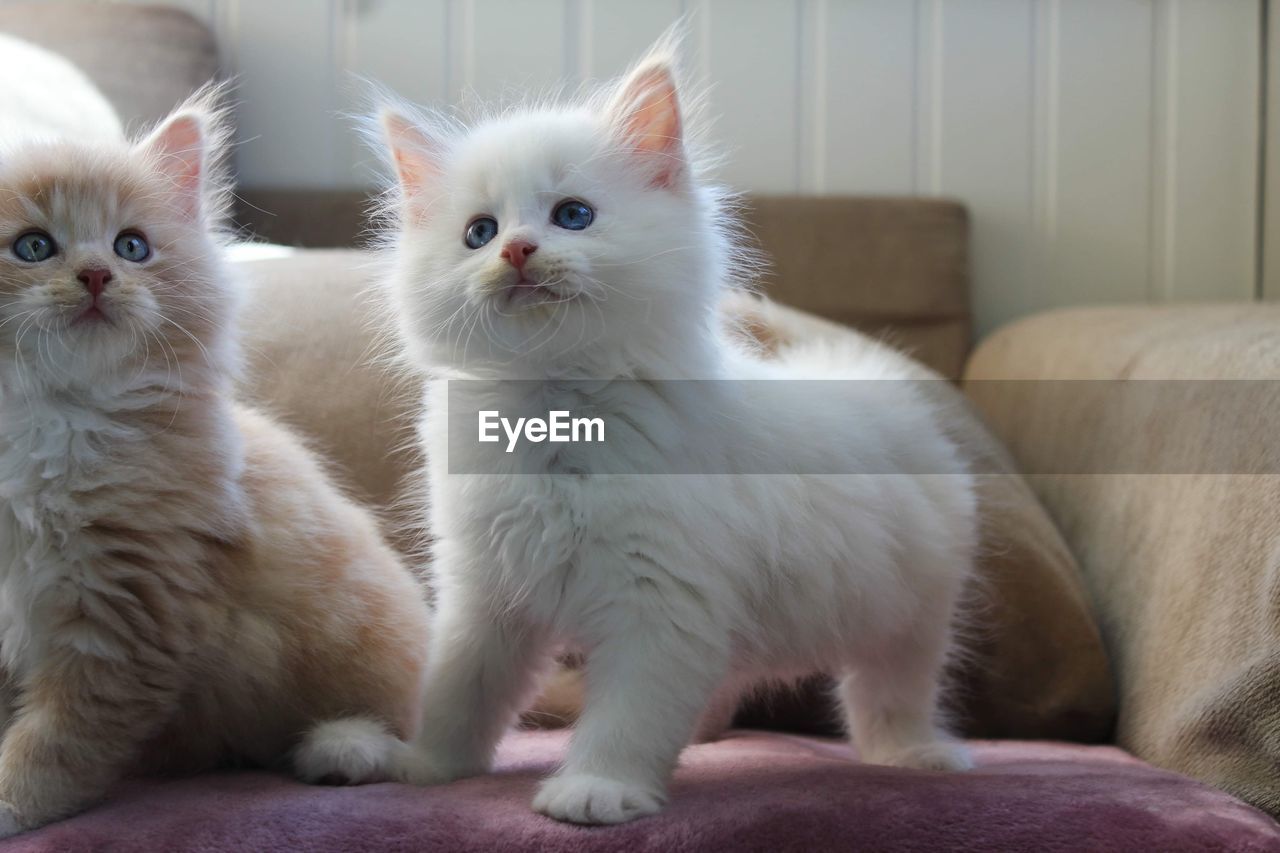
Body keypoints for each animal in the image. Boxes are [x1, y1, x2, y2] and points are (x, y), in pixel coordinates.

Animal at [0, 91, 432, 829]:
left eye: (132, 246)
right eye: (33, 246)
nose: (96, 275)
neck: (51, 419)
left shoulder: (123, 618)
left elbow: (60, 736)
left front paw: (13, 796)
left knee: (405, 725)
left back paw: (343, 748)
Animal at [373, 29, 972, 819]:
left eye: (573, 215)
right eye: (479, 232)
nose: (516, 250)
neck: (556, 412)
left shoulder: (661, 598)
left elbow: (628, 714)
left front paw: (597, 788)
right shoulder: (486, 593)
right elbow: (459, 691)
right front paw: (424, 766)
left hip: (909, 611)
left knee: (891, 693)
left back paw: (915, 755)